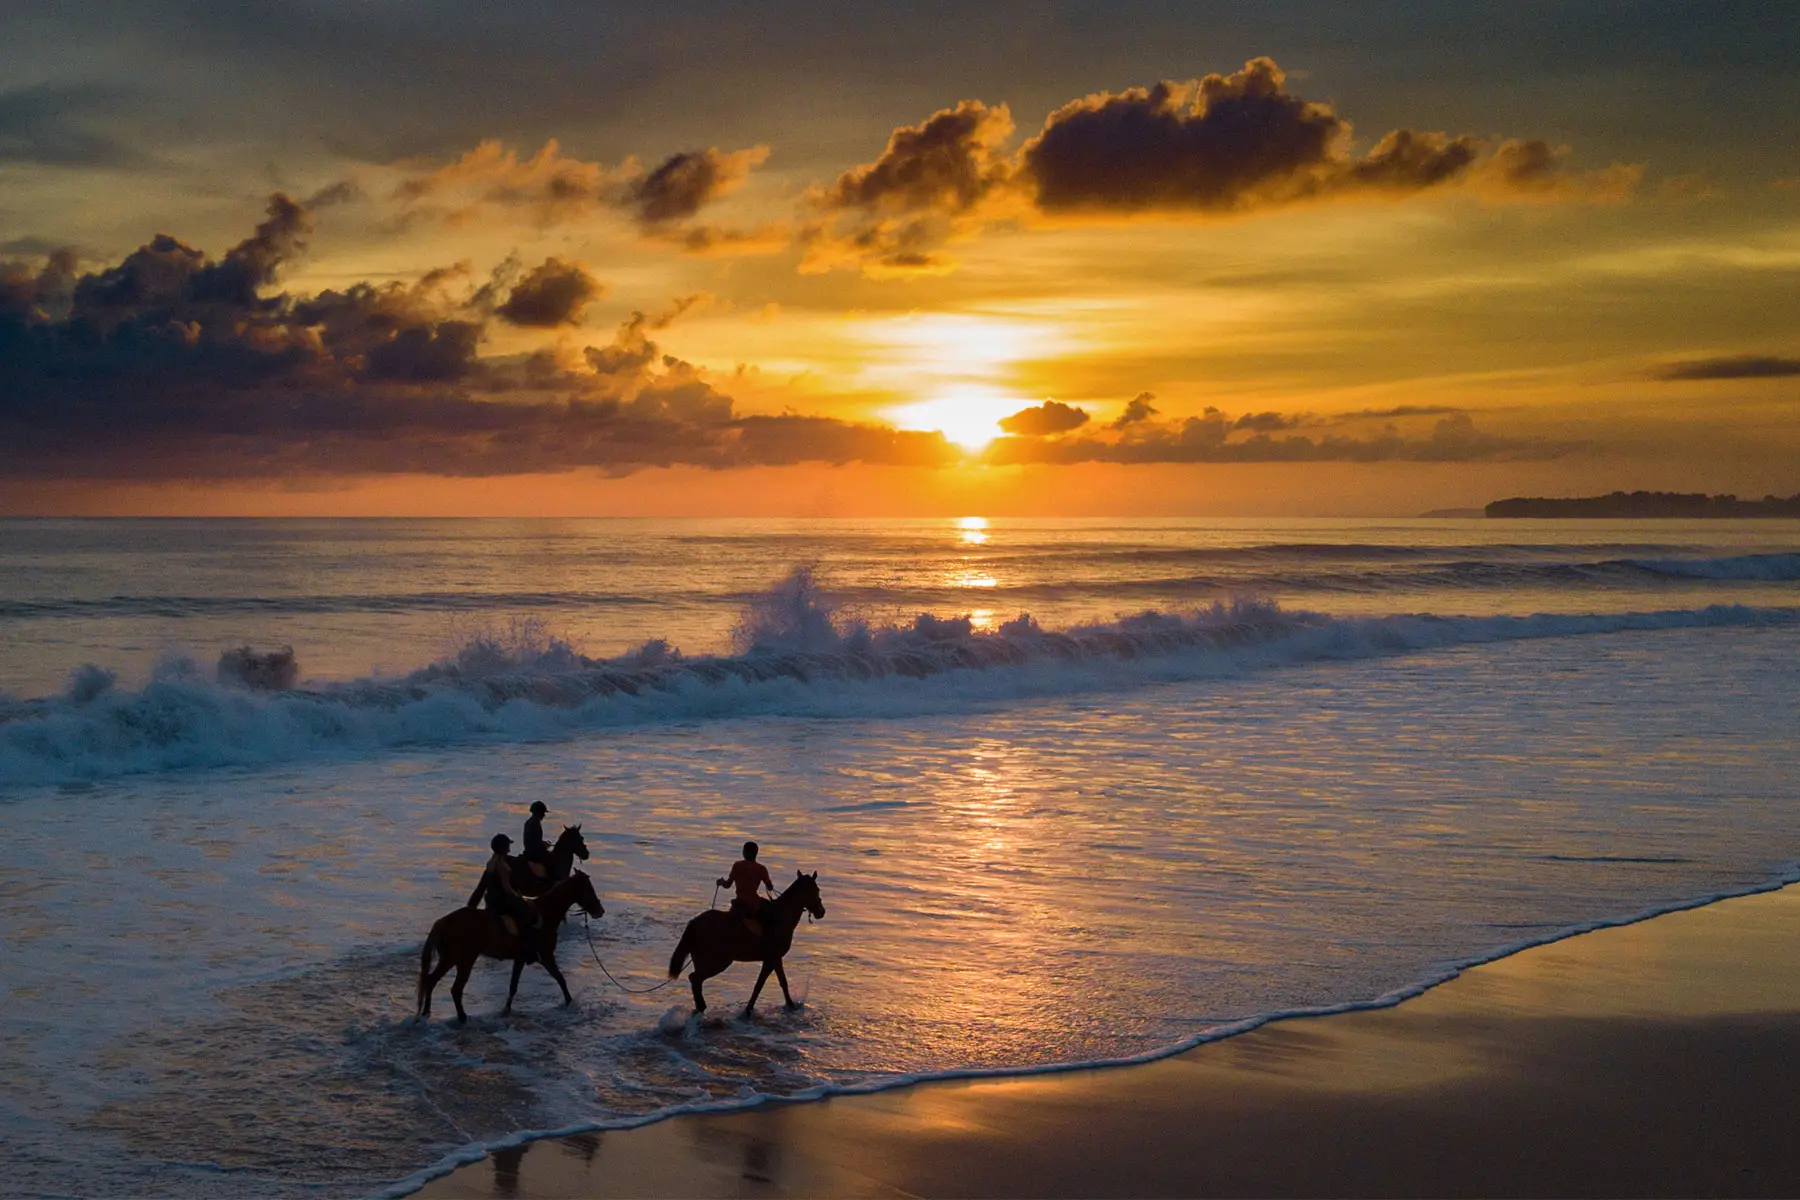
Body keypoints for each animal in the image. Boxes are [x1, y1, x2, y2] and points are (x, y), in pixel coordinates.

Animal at [416, 869, 604, 1022]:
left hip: (449, 959)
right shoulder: (546, 956)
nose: (600, 911)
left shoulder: (520, 959)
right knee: (455, 989)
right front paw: (570, 1003)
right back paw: (462, 1017)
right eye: (589, 889)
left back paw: (426, 1012)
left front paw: (506, 1010)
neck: (545, 915)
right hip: (464, 960)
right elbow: (560, 978)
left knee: (431, 980)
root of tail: (441, 922)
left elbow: (513, 986)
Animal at [668, 870, 824, 1015]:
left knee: (696, 980)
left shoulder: (775, 958)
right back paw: (701, 1007)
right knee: (695, 978)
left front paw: (790, 1005)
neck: (781, 916)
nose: (821, 912)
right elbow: (759, 984)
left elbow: (782, 982)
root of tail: (695, 923)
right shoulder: (770, 959)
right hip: (718, 962)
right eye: (816, 890)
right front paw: (748, 1009)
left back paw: (700, 1007)